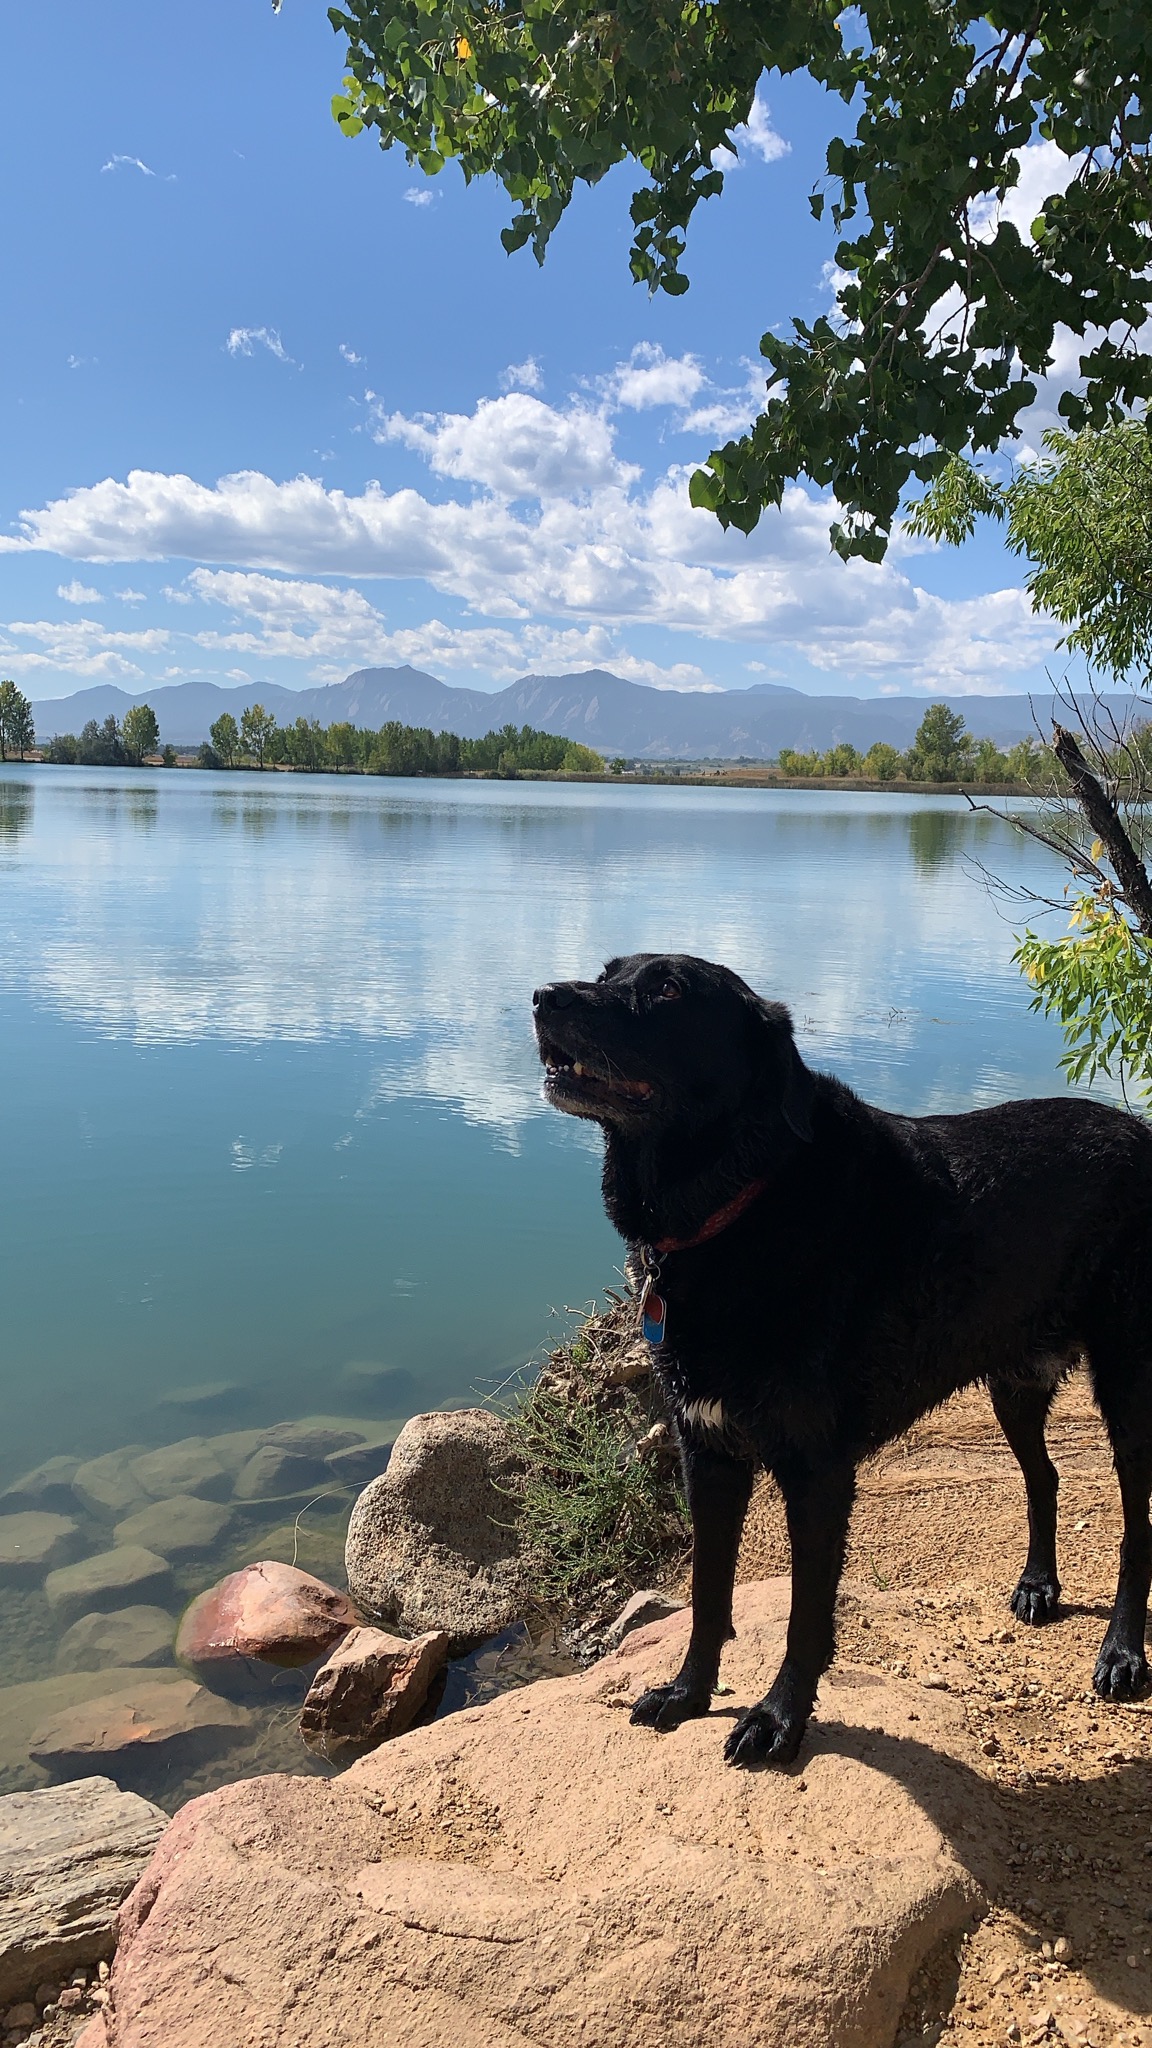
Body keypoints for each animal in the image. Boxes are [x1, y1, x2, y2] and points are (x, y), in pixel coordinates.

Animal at [532, 950, 1147, 1769]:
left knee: (1137, 1524)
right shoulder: (708, 1454)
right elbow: (707, 1594)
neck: (742, 1199)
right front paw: (688, 1693)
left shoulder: (816, 1472)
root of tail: (1141, 1133)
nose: (542, 997)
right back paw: (1038, 1586)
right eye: (608, 974)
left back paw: (1122, 1652)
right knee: (1044, 1476)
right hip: (1015, 1382)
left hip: (1129, 1385)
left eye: (666, 989)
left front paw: (777, 1720)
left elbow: (804, 1617)